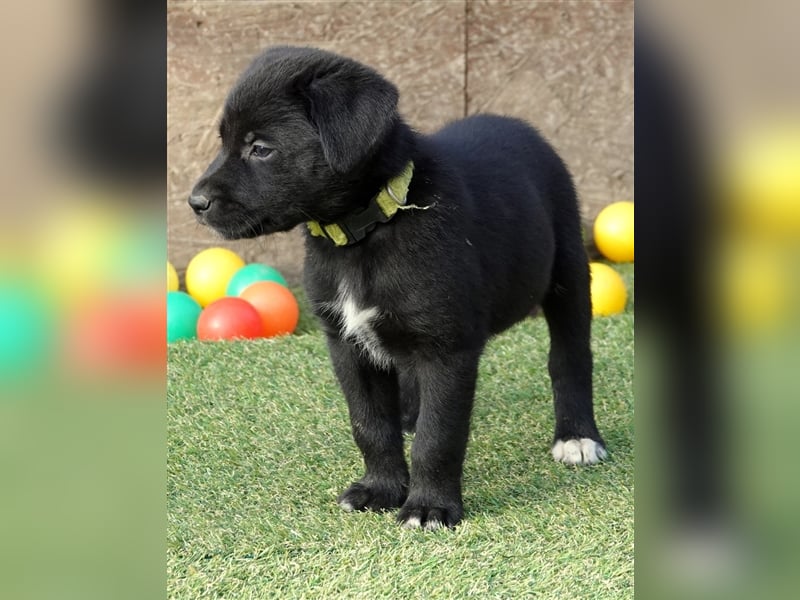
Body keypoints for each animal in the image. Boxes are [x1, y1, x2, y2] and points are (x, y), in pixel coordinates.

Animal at [189, 45, 608, 528]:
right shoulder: (346, 342)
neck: (365, 233)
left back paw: (577, 436)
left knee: (570, 358)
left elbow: (438, 436)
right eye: (223, 141)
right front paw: (382, 488)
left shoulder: (448, 348)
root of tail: (519, 124)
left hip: (568, 272)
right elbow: (370, 425)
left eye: (261, 148)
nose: (194, 202)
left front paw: (429, 506)